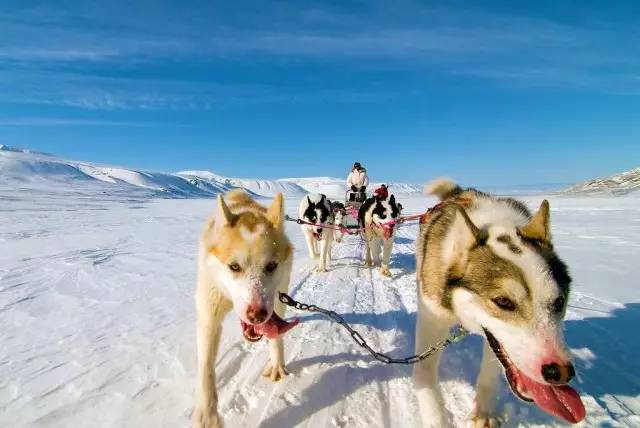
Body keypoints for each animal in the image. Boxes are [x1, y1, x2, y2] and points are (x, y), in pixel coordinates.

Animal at [192, 191, 298, 428]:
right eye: (234, 266)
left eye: (271, 266)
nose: (257, 314)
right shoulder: (208, 315)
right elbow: (206, 367)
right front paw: (208, 415)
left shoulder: (277, 300)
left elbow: (276, 337)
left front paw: (276, 364)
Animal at [416, 179, 584, 426]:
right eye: (503, 301)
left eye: (559, 302)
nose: (560, 372)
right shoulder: (432, 319)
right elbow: (425, 376)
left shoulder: (495, 340)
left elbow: (490, 373)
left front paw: (484, 413)